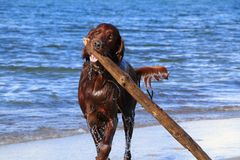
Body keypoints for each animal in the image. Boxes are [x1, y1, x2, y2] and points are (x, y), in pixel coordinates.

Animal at [78, 23, 168, 159]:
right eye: (97, 32)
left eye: (110, 37)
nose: (97, 44)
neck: (97, 78)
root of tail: (134, 71)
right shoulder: (91, 117)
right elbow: (99, 143)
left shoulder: (111, 117)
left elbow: (106, 146)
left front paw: (102, 155)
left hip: (128, 116)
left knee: (128, 146)